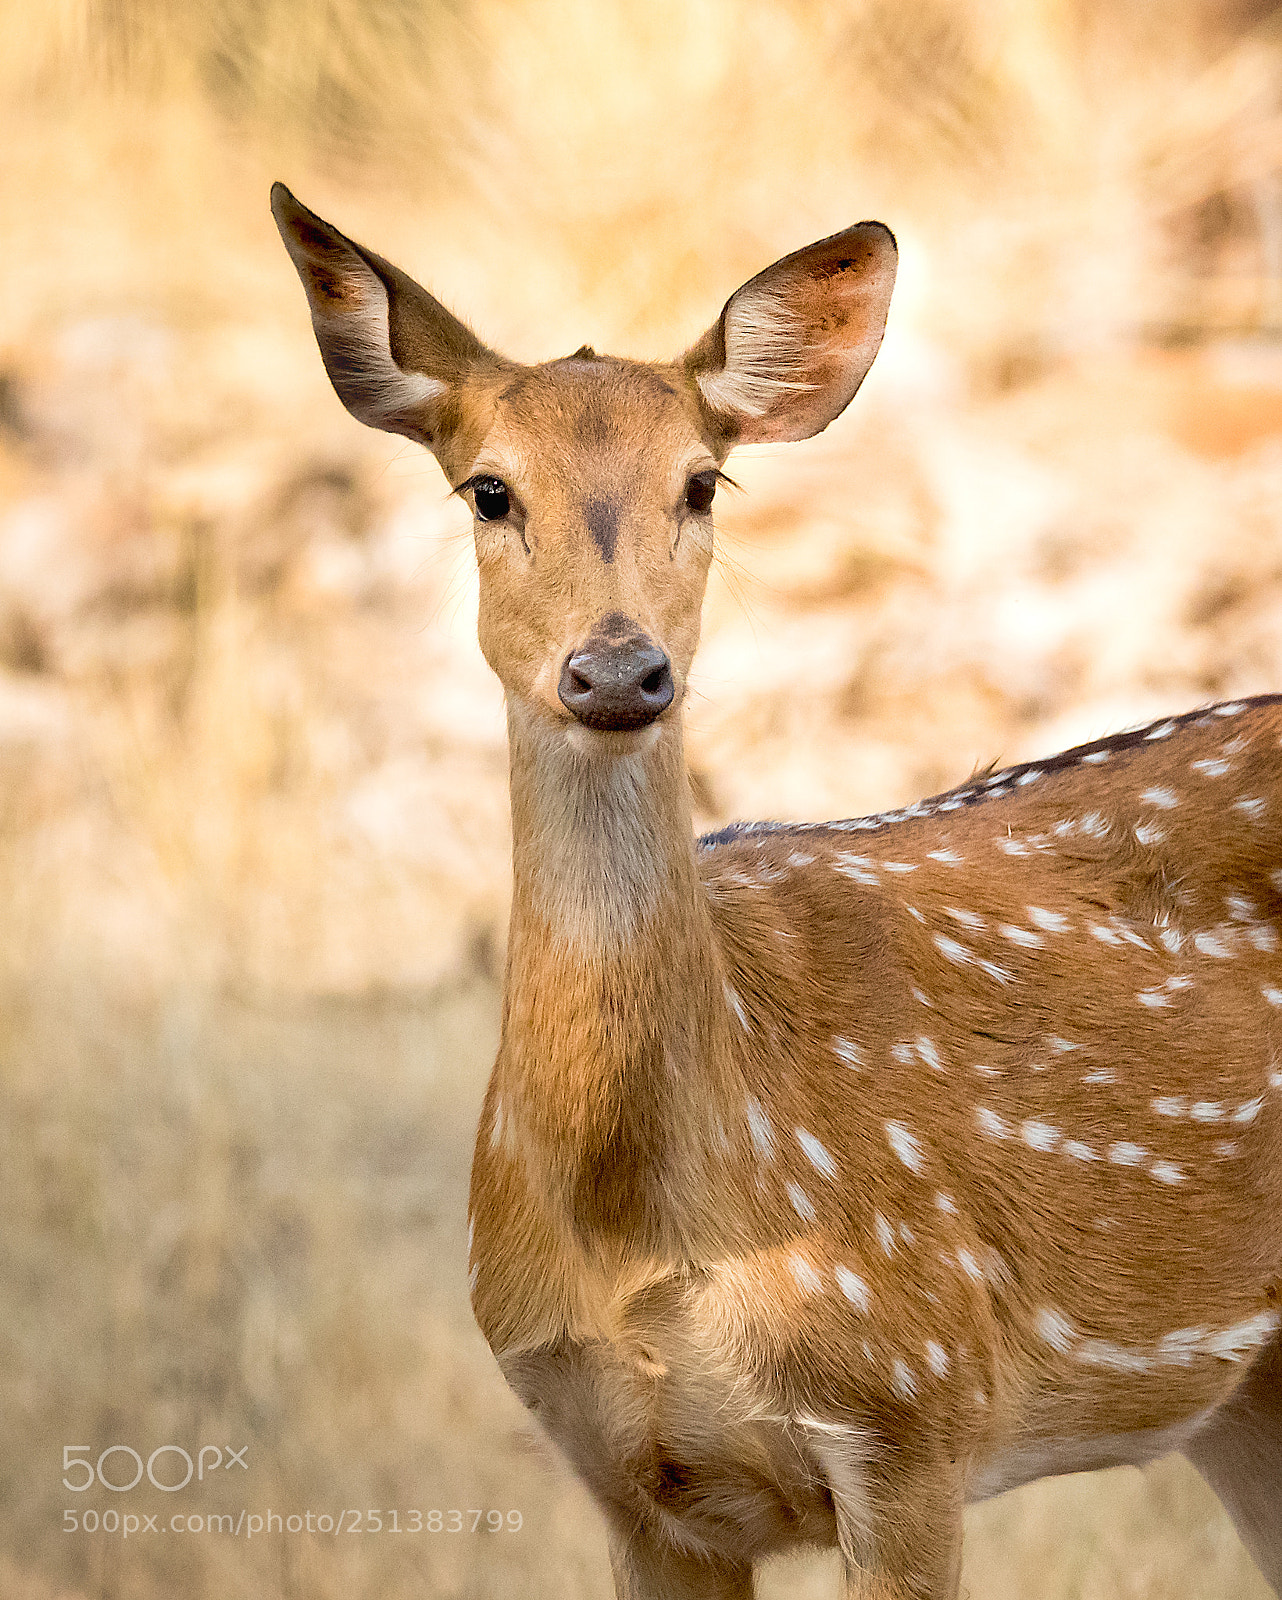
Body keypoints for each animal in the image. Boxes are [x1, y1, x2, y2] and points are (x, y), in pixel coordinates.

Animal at [272, 181, 1282, 1600]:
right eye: (488, 490)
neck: (643, 1224)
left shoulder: (913, 1409)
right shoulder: (631, 1479)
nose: (619, 669)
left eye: (701, 482)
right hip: (1246, 1396)